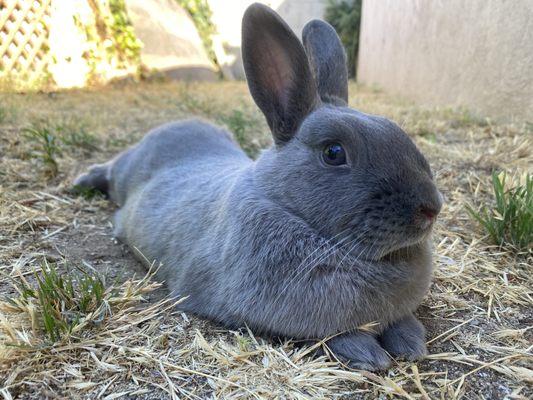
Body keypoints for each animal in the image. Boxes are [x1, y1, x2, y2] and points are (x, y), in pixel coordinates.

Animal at [74, 3, 440, 372]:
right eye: (334, 153)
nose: (431, 208)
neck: (287, 208)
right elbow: (329, 334)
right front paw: (369, 354)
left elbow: (400, 321)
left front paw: (411, 344)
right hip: (125, 171)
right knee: (110, 169)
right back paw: (80, 183)